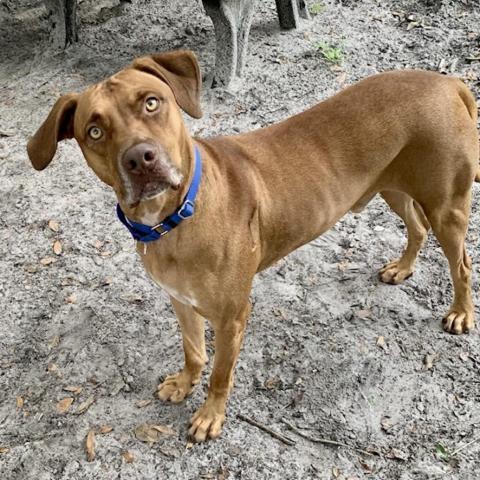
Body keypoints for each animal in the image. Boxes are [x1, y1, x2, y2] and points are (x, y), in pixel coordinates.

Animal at [28, 49, 478, 442]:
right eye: (94, 131)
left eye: (152, 103)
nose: (140, 159)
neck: (175, 220)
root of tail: (448, 81)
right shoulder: (180, 299)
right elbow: (194, 351)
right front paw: (185, 382)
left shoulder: (231, 317)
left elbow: (221, 373)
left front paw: (210, 416)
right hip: (391, 186)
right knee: (417, 227)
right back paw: (403, 267)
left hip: (446, 205)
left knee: (461, 264)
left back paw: (460, 313)